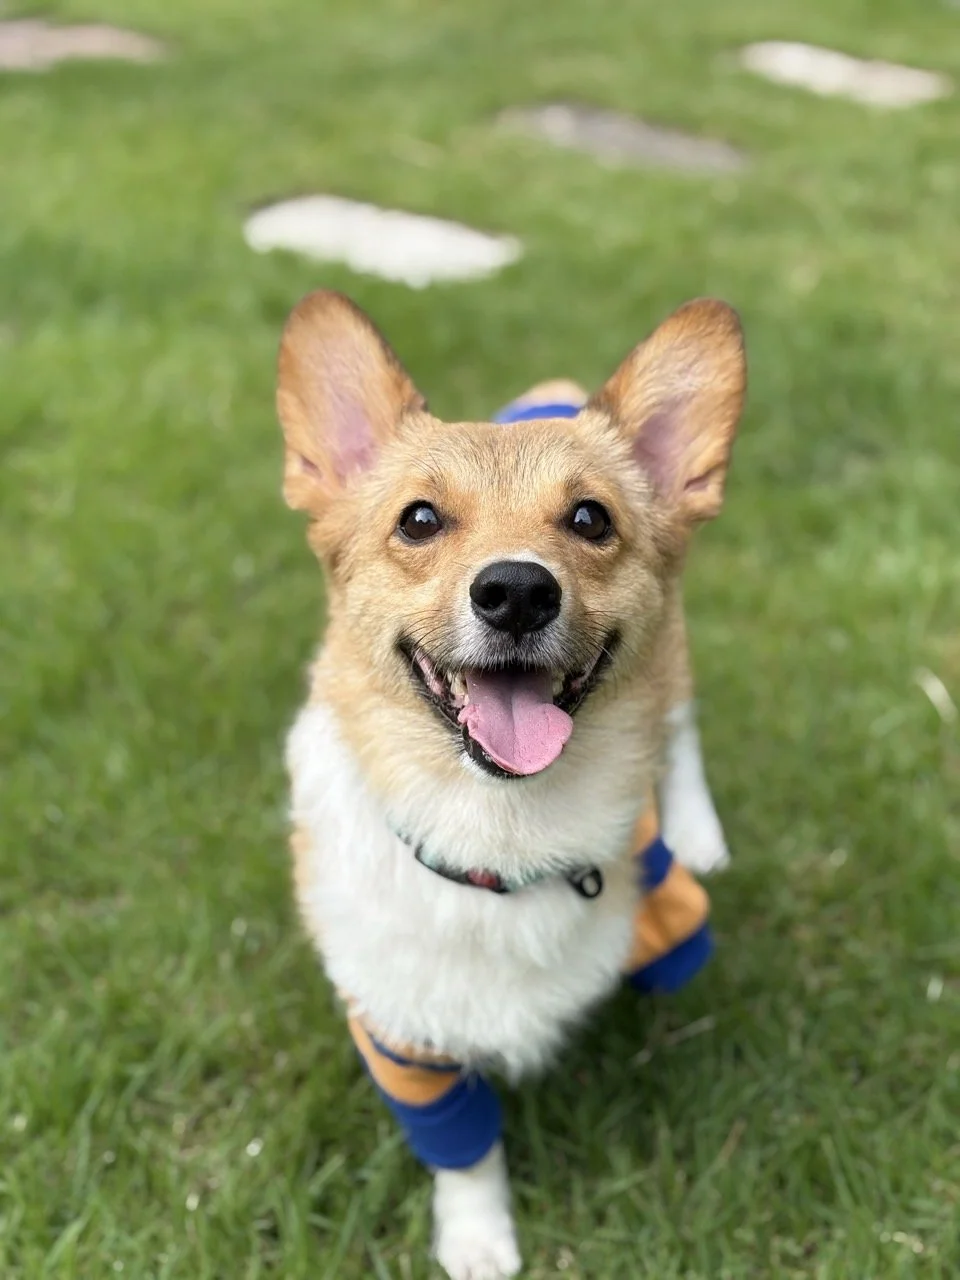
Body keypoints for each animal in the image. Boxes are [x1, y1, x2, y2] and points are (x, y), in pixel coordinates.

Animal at [277, 290, 746, 1279]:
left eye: (591, 520)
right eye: (419, 520)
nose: (519, 592)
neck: (502, 829)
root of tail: (551, 389)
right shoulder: (406, 1038)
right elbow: (466, 1154)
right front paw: (478, 1240)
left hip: (676, 652)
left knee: (680, 728)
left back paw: (700, 831)